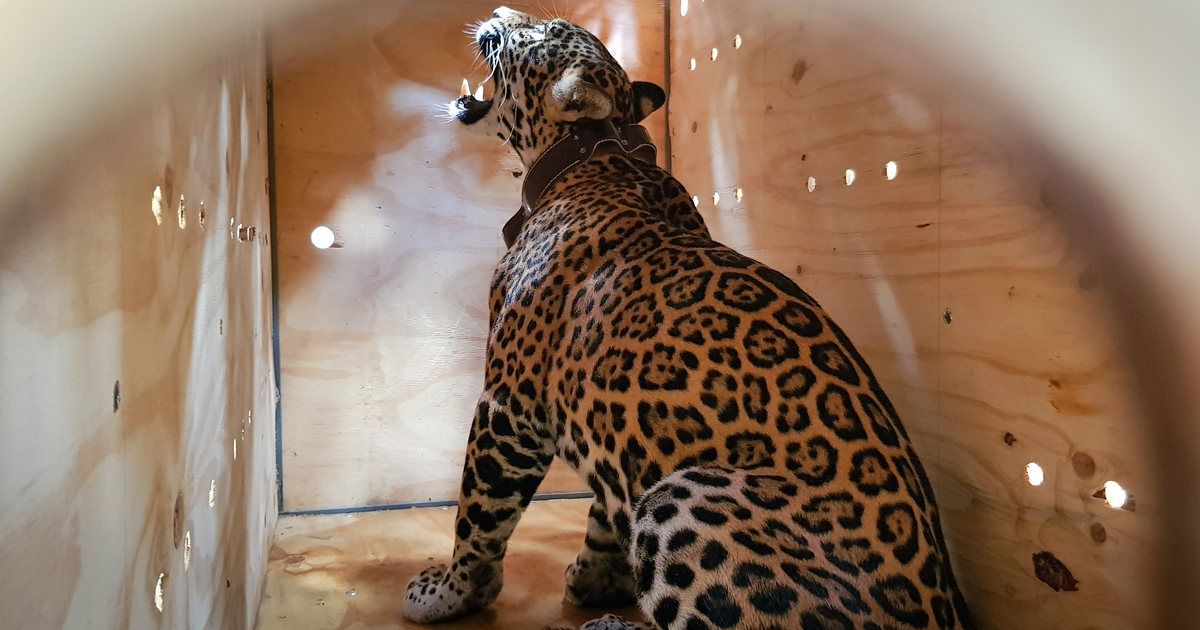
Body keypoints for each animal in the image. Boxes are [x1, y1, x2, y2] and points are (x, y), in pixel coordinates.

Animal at [404, 7, 974, 630]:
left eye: (543, 31)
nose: (500, 13)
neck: (590, 156)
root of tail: (944, 612)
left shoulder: (509, 405)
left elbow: (478, 515)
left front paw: (451, 593)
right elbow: (604, 512)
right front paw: (595, 579)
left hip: (684, 494)